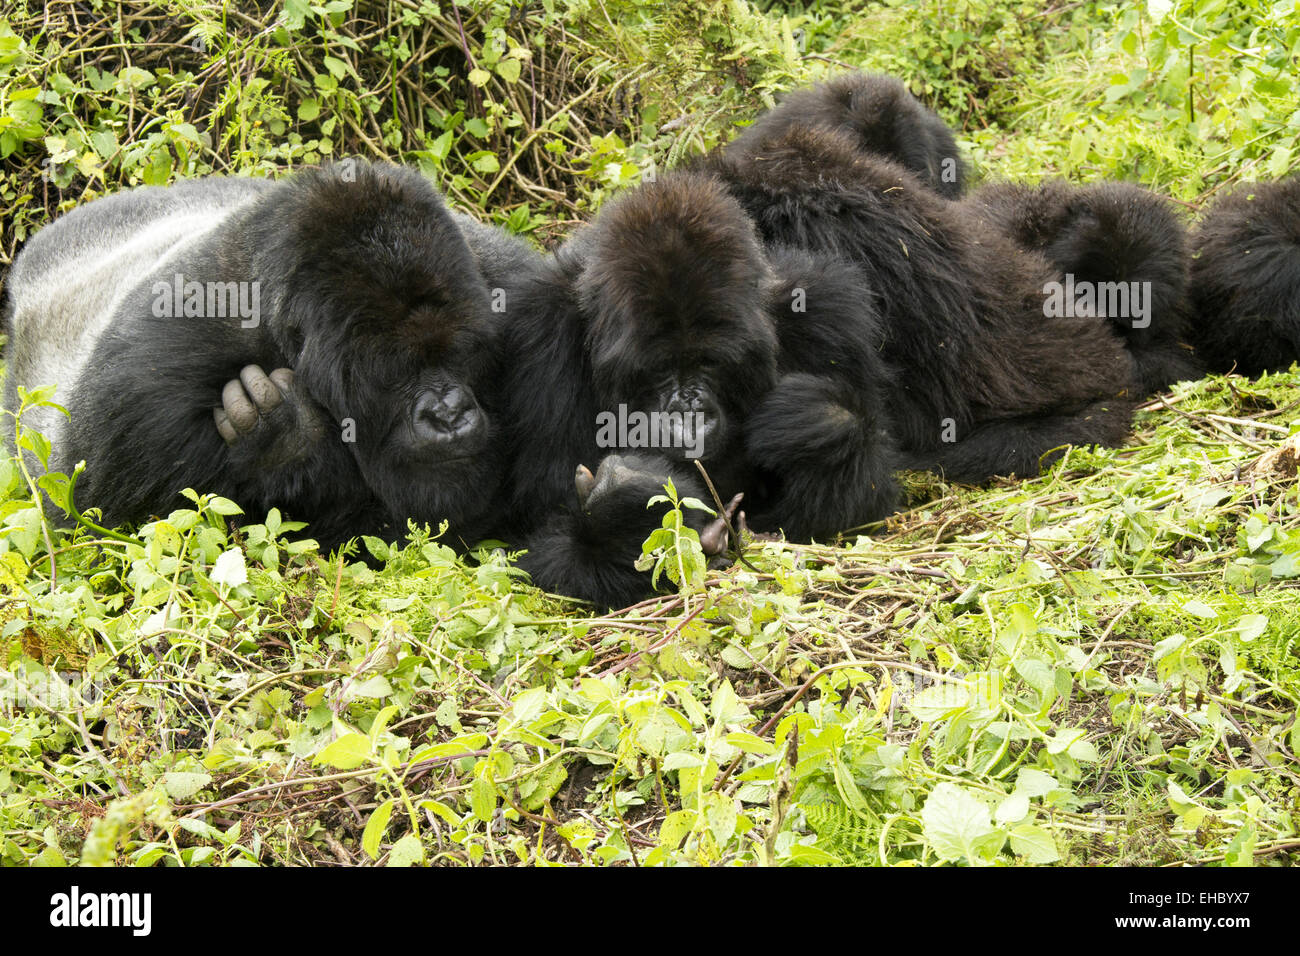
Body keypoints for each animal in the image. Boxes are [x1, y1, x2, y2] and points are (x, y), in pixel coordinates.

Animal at [3, 164, 501, 546]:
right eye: (395, 371)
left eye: (459, 354)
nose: (449, 414)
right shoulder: (140, 392)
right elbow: (133, 524)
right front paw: (288, 437)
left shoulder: (497, 276)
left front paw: (283, 435)